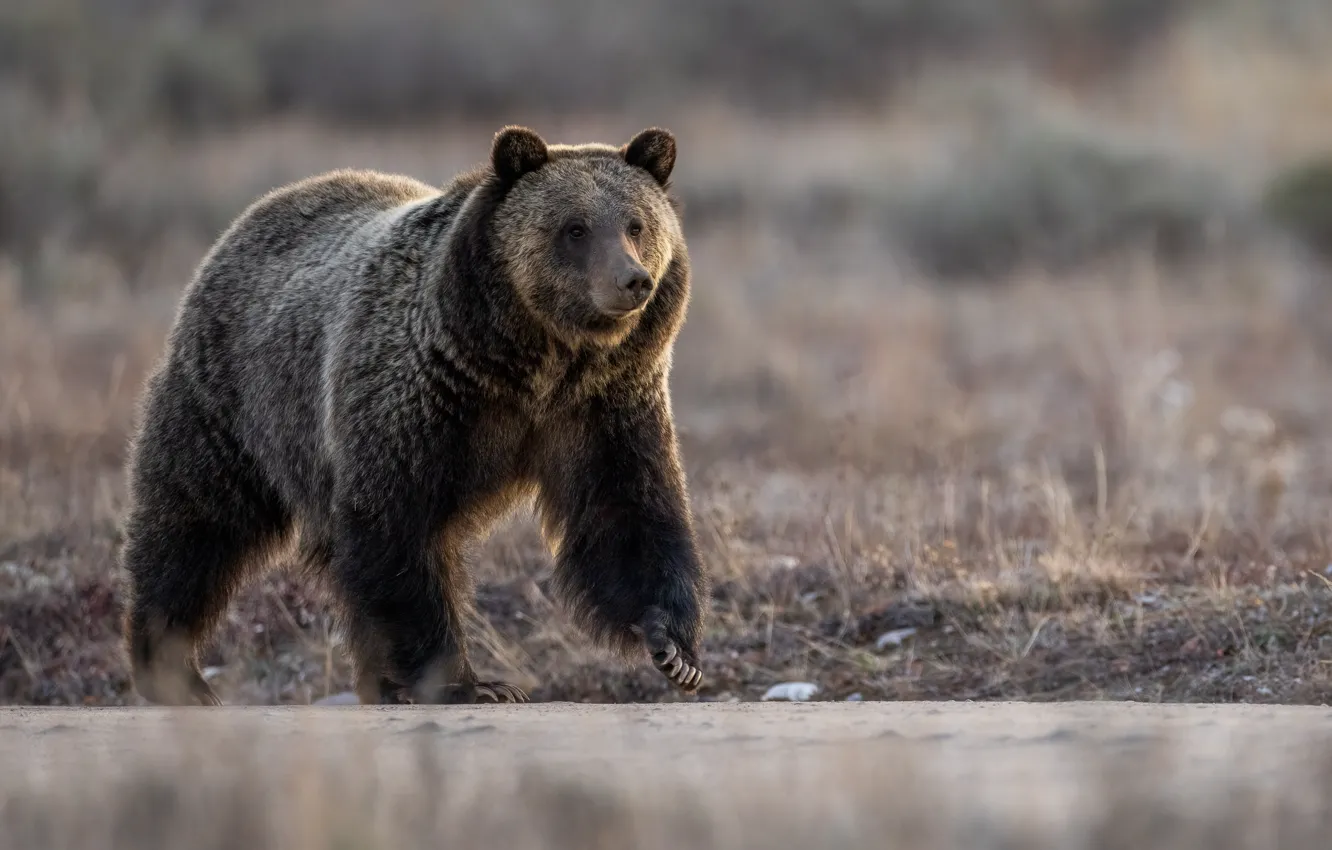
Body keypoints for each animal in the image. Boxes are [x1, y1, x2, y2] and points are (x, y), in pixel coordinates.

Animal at [117, 125, 709, 706]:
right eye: (575, 228)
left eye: (637, 224)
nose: (633, 280)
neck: (533, 362)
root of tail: (250, 218)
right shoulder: (420, 398)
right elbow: (396, 529)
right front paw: (469, 683)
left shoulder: (602, 405)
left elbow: (625, 511)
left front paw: (673, 647)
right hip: (235, 402)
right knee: (196, 526)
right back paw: (174, 669)